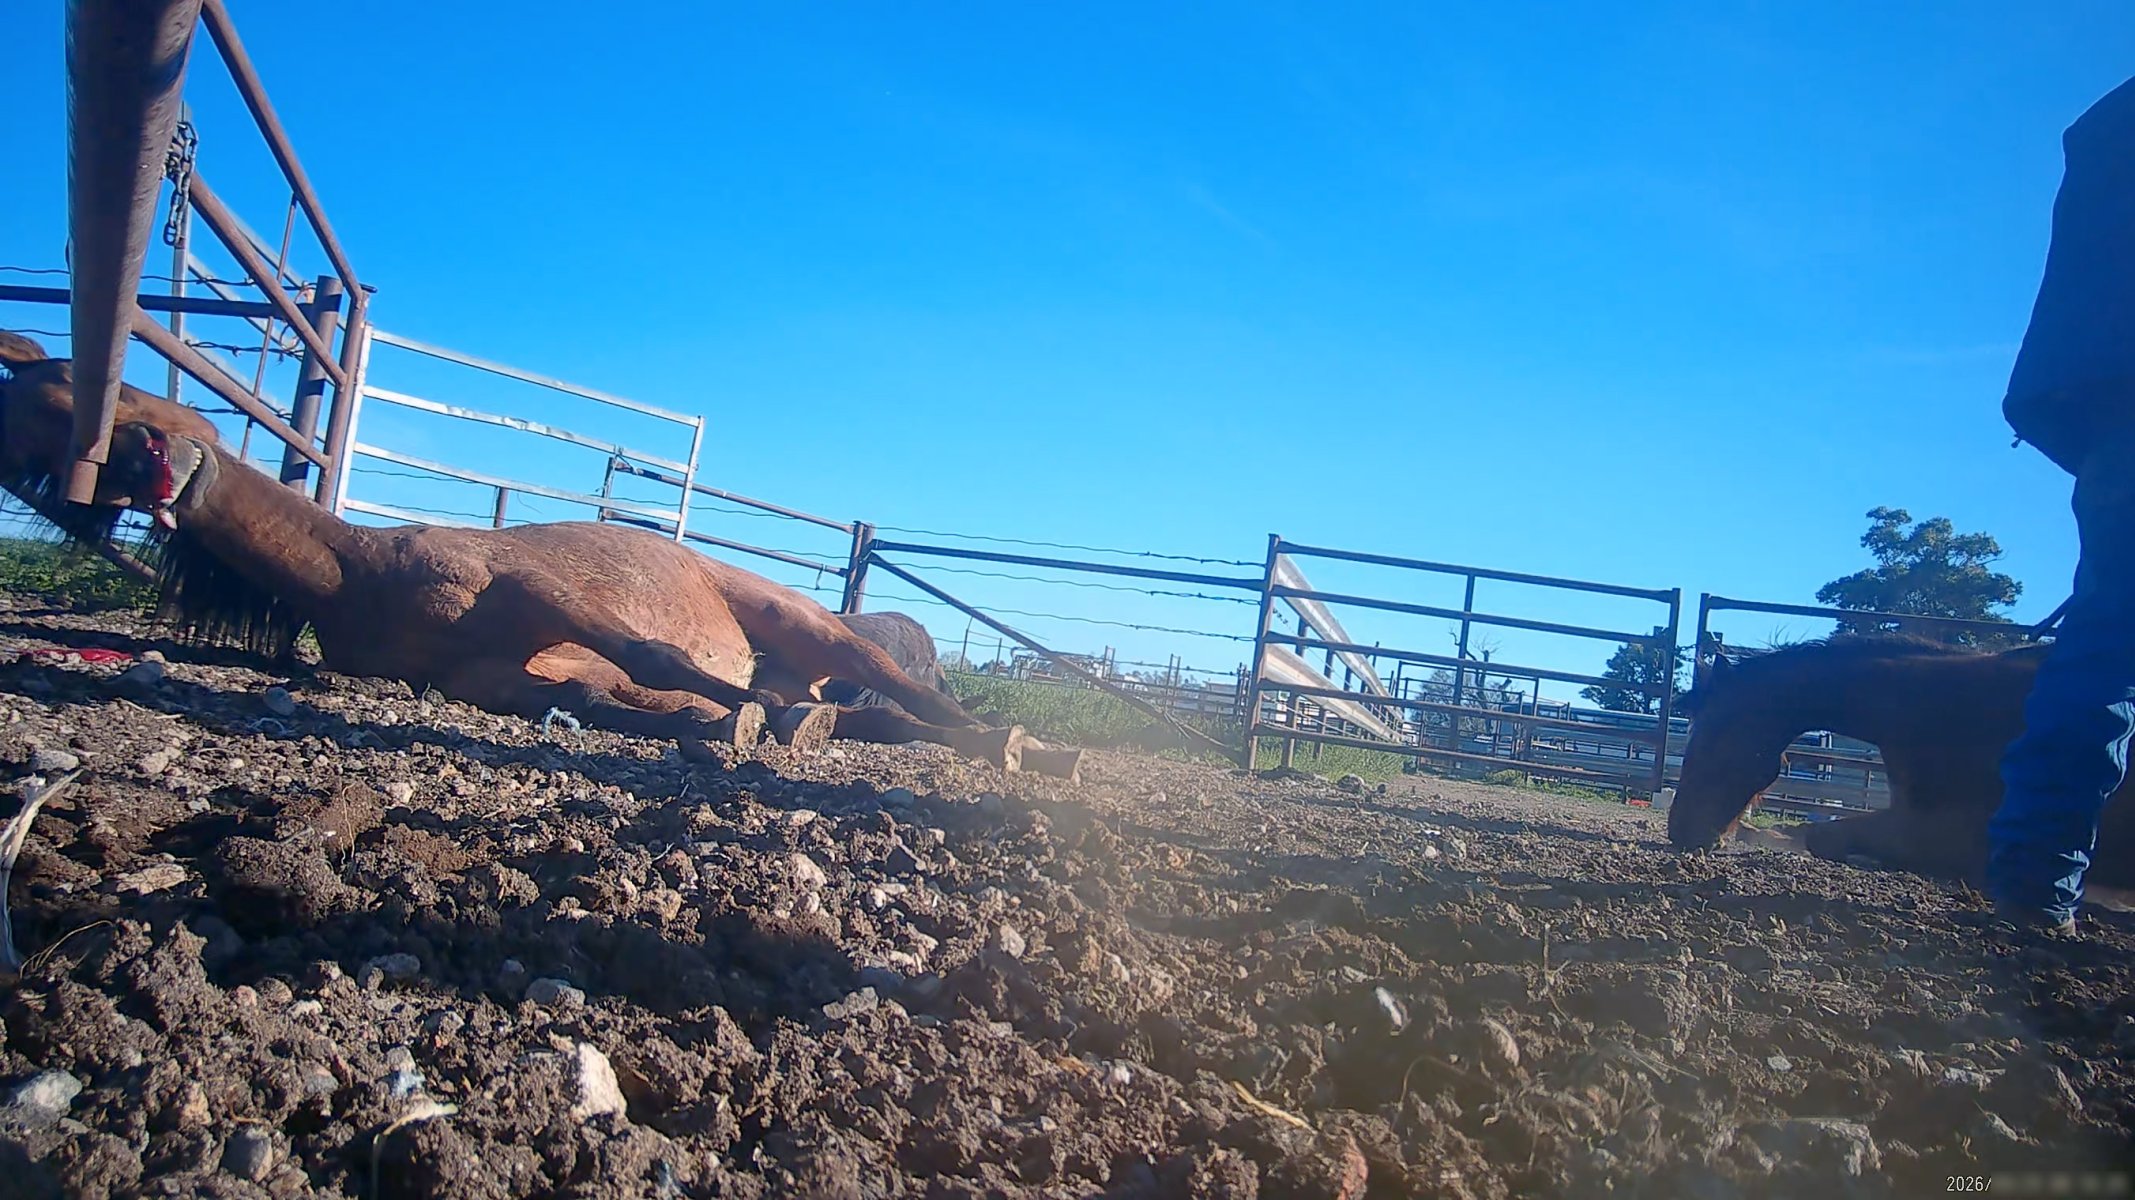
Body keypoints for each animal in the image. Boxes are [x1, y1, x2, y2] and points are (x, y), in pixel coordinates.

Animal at [0, 338, 1050, 773]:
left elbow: (651, 659)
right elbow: (612, 702)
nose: (40, 476)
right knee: (877, 719)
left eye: (66, 389)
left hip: (797, 621)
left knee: (909, 692)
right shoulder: (495, 679)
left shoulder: (541, 593)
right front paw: (731, 724)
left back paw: (1018, 742)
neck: (364, 577)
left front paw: (744, 721)